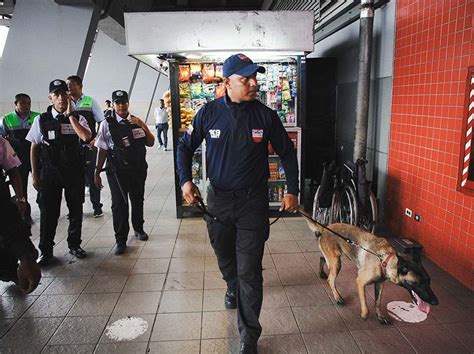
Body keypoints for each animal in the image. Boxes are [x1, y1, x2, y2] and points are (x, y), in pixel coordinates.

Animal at [302, 214, 438, 324]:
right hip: (336, 263)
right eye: (419, 283)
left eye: (429, 281)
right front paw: (364, 315)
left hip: (334, 259)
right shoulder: (360, 281)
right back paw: (337, 297)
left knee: (322, 258)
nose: (436, 302)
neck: (384, 259)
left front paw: (380, 317)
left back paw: (321, 273)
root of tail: (324, 228)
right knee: (330, 279)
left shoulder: (380, 284)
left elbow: (378, 302)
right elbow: (366, 306)